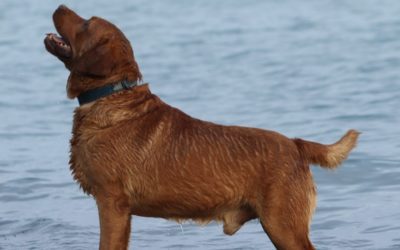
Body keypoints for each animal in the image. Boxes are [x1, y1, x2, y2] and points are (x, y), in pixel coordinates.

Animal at [45, 4, 360, 249]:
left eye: (86, 23)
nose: (59, 6)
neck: (111, 95)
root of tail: (296, 145)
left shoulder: (112, 203)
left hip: (283, 227)